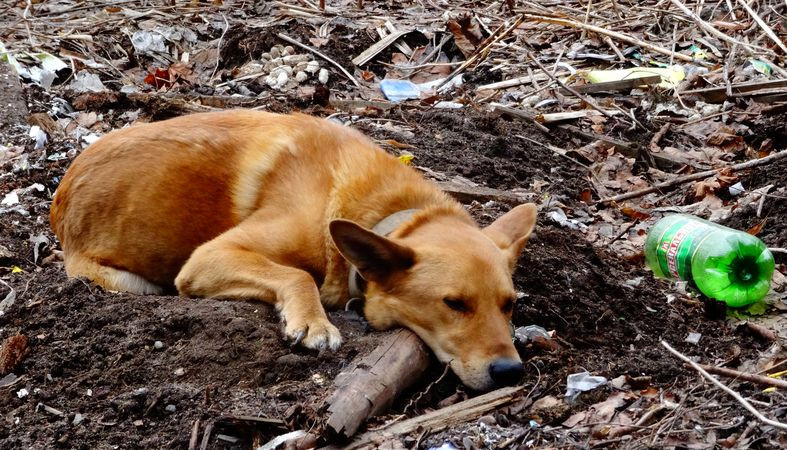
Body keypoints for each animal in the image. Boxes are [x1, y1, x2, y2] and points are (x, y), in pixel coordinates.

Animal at [52, 110, 540, 390]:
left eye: (510, 305)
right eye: (454, 304)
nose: (510, 372)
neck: (385, 210)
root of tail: (60, 196)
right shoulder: (209, 258)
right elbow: (298, 274)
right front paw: (313, 321)